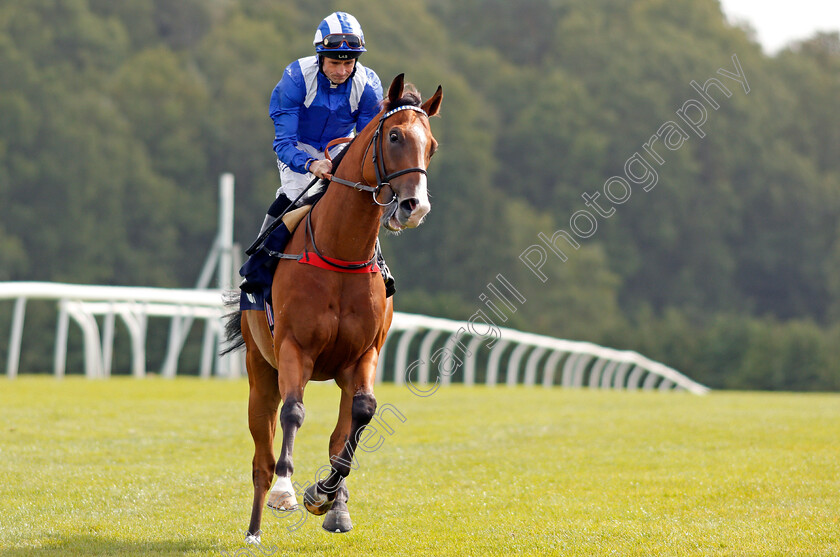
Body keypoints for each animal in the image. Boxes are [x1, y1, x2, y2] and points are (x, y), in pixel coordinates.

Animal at [223, 73, 446, 540]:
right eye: (394, 136)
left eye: (431, 146)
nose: (415, 207)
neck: (341, 253)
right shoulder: (294, 348)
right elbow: (293, 412)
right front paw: (287, 491)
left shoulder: (363, 355)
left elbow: (360, 417)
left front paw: (325, 495)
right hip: (260, 369)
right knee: (261, 454)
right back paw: (254, 527)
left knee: (341, 431)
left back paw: (335, 504)